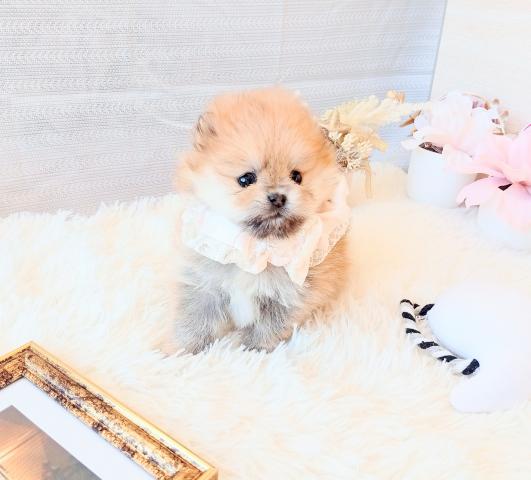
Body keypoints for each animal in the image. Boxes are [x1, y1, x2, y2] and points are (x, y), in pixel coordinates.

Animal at [175, 87, 350, 353]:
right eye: (246, 179)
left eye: (297, 176)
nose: (278, 197)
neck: (258, 248)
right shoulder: (204, 285)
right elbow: (195, 320)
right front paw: (180, 351)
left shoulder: (288, 296)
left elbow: (267, 327)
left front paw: (252, 351)